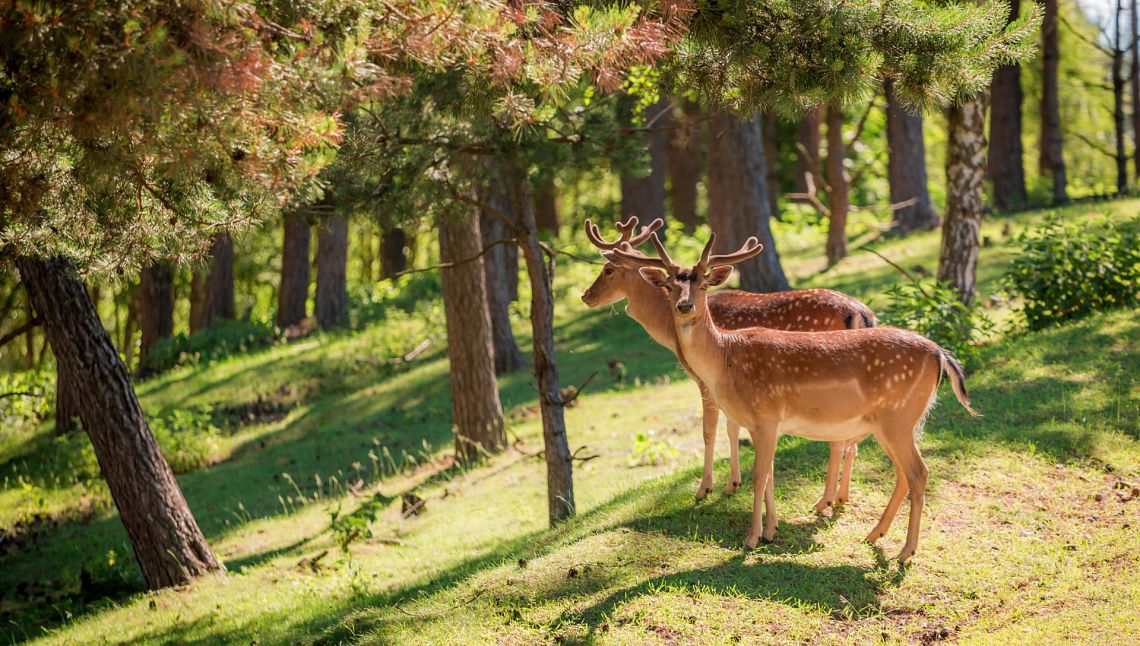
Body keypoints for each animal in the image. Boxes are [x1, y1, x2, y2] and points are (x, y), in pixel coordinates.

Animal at [583, 217, 875, 510]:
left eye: (608, 269)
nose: (586, 295)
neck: (668, 331)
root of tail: (861, 313)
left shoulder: (705, 379)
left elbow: (711, 430)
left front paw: (705, 489)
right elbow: (732, 426)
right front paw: (733, 484)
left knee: (839, 439)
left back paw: (824, 501)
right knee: (852, 440)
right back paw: (841, 496)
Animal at [615, 232, 980, 560]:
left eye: (704, 283)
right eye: (669, 285)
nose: (684, 305)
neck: (725, 359)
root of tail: (940, 354)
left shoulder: (765, 416)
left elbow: (758, 476)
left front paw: (751, 539)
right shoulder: (761, 424)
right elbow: (769, 475)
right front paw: (770, 531)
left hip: (897, 417)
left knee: (918, 472)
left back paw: (905, 551)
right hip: (897, 421)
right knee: (905, 473)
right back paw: (874, 535)